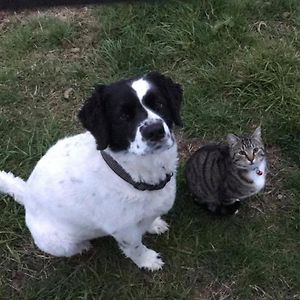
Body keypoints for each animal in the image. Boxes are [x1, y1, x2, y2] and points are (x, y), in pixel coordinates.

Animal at [0, 71, 183, 270]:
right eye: (123, 116)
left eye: (159, 104)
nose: (155, 131)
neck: (130, 175)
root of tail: (27, 194)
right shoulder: (124, 231)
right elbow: (135, 248)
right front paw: (148, 261)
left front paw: (154, 224)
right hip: (62, 243)